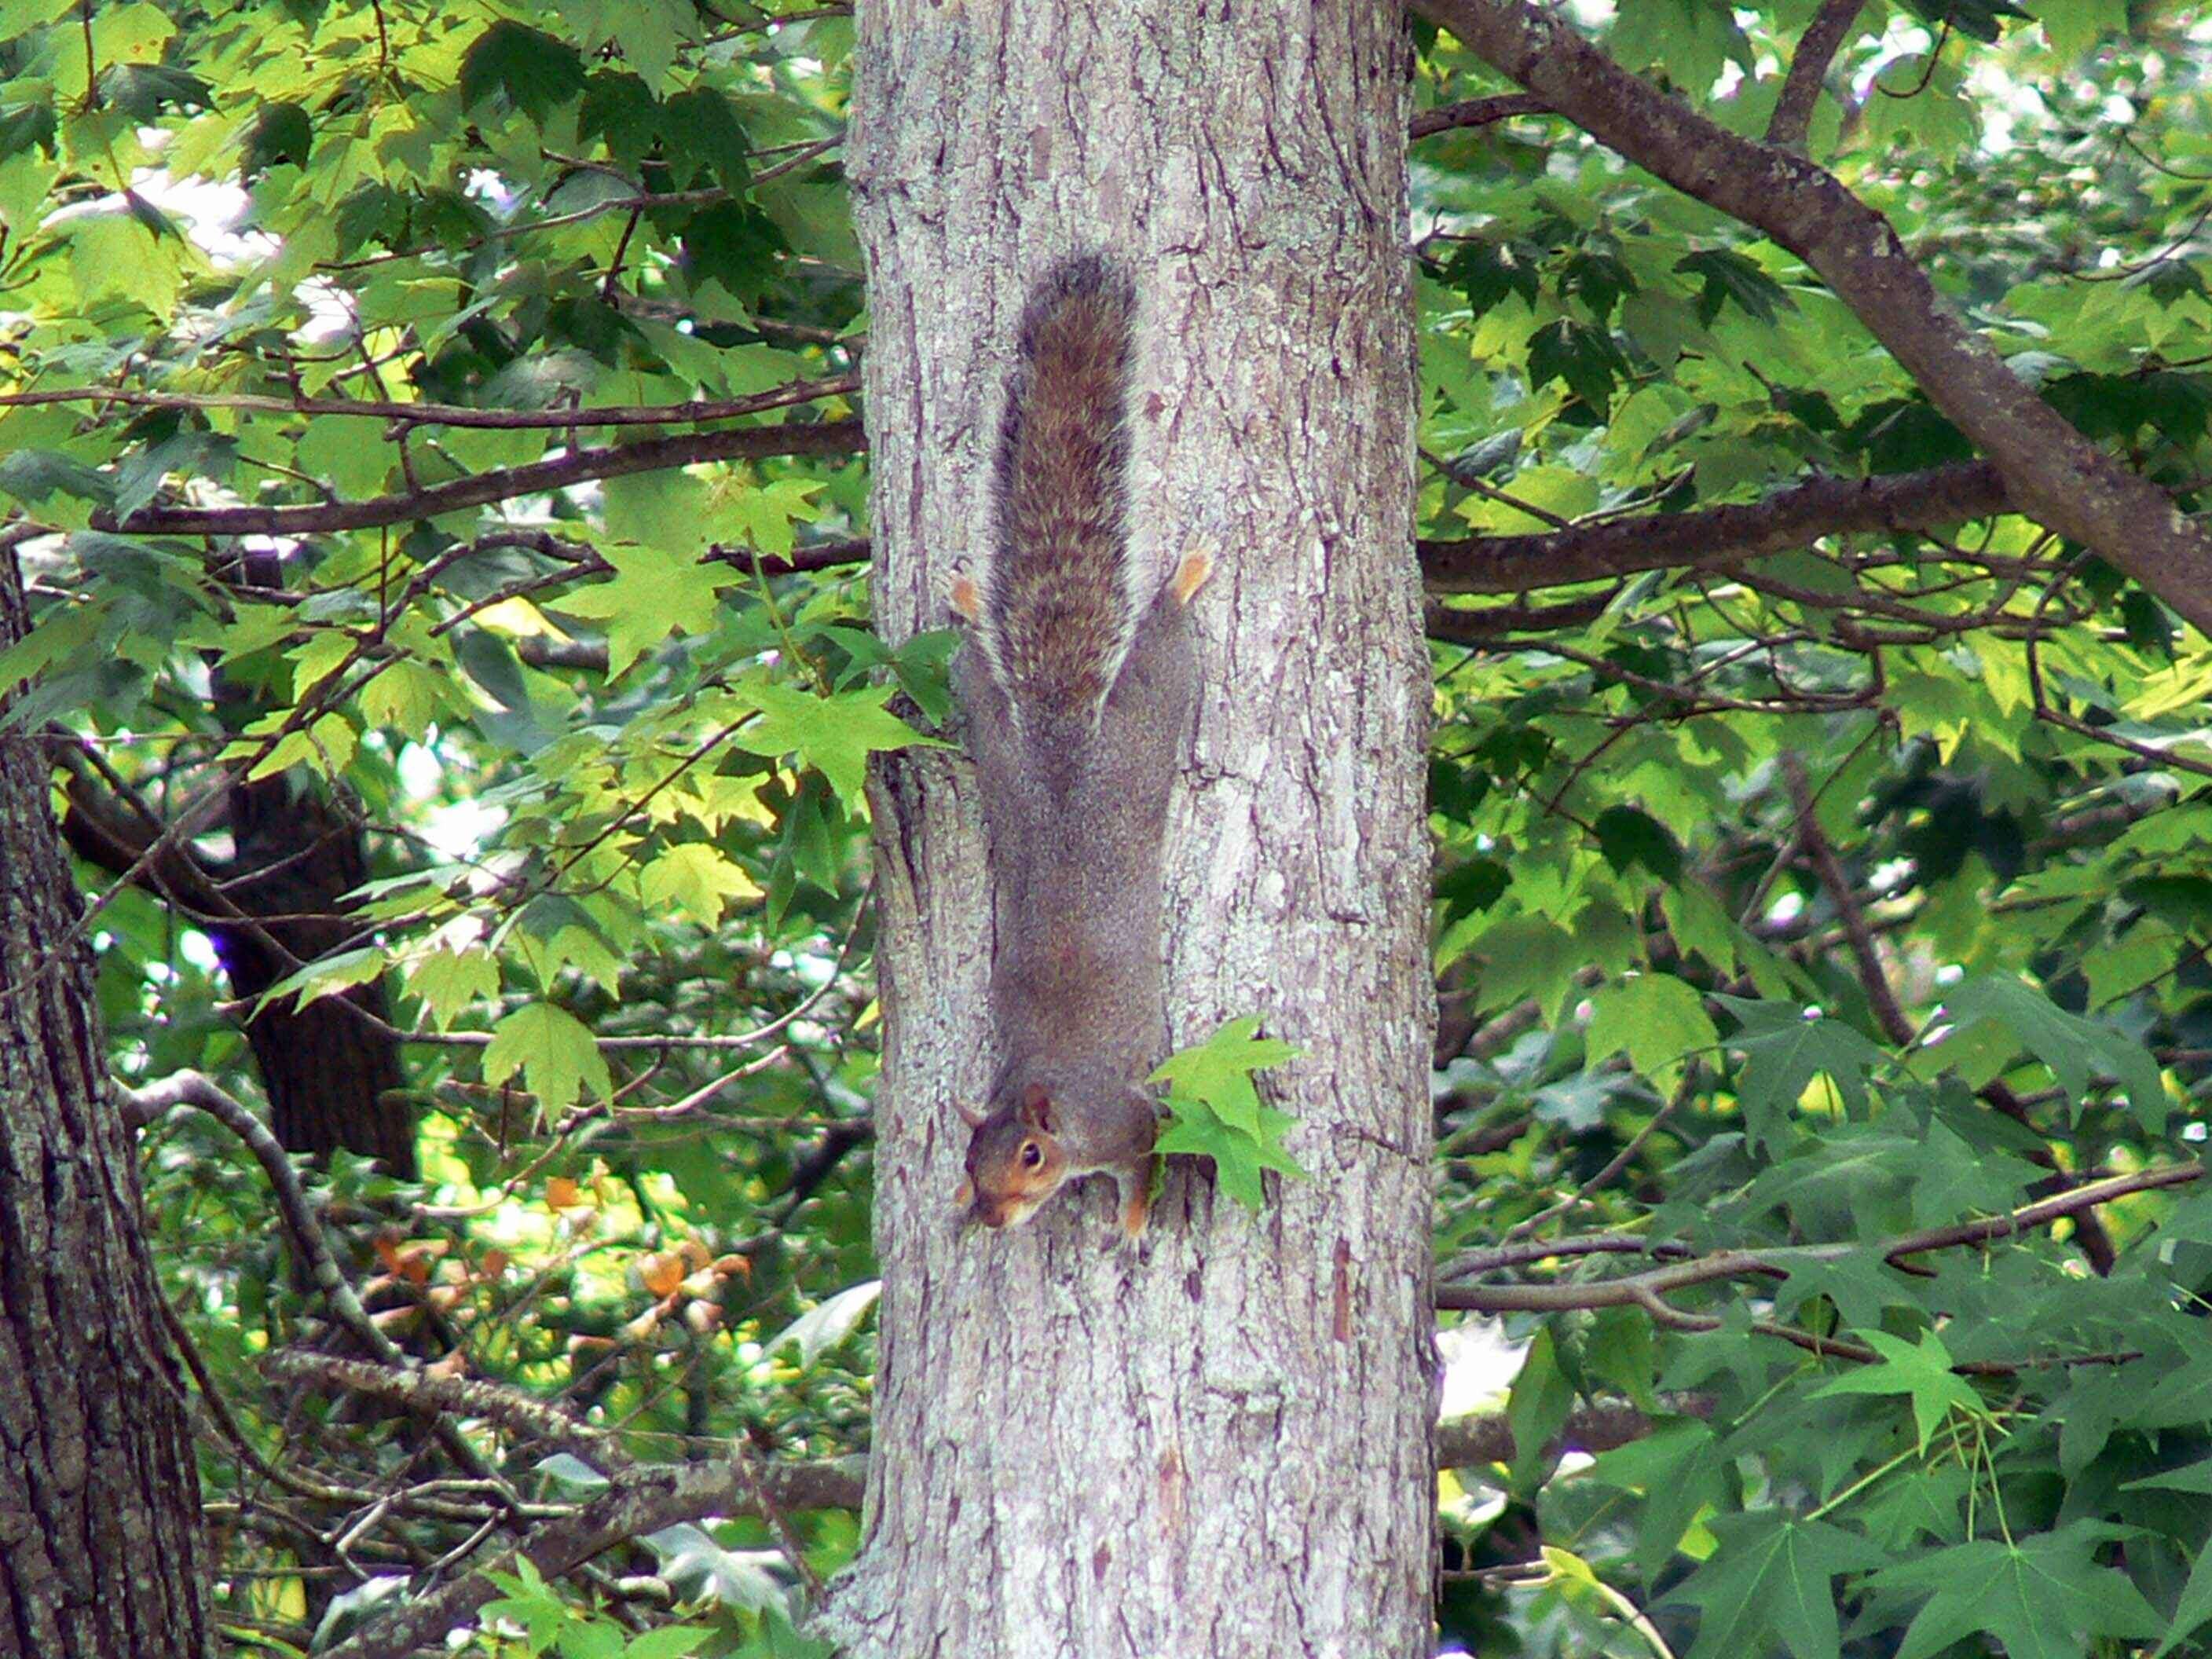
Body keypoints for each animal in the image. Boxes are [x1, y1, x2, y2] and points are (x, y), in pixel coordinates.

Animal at [942, 259, 1203, 1238]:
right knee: (978, 675)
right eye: (968, 1159)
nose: (988, 1219)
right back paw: (969, 604)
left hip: (1143, 727)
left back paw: (1182, 582)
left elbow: (1146, 1164)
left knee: (1163, 646)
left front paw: (1132, 1219)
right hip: (996, 750)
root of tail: (1057, 757)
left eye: (1030, 1155)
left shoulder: (1130, 1120)